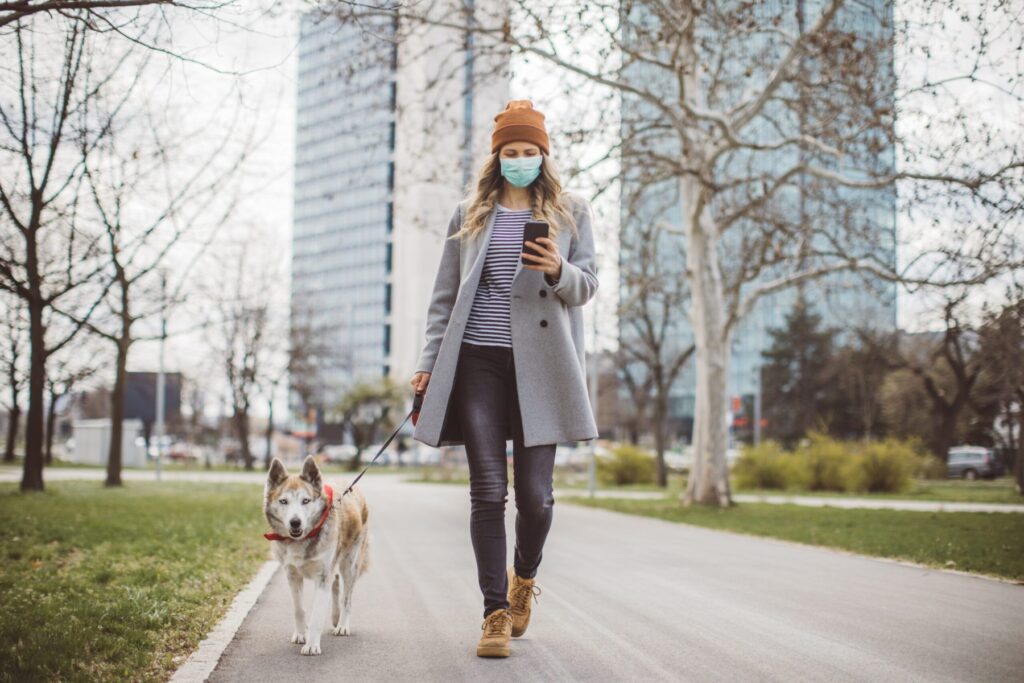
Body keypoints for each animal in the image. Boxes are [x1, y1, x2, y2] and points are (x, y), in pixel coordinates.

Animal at [264, 456, 372, 655]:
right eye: (283, 501)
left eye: (306, 501)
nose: (295, 522)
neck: (301, 539)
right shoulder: (292, 575)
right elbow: (299, 609)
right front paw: (301, 635)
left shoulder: (322, 578)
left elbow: (316, 615)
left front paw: (312, 644)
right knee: (335, 582)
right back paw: (335, 617)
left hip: (350, 564)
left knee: (347, 597)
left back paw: (342, 625)